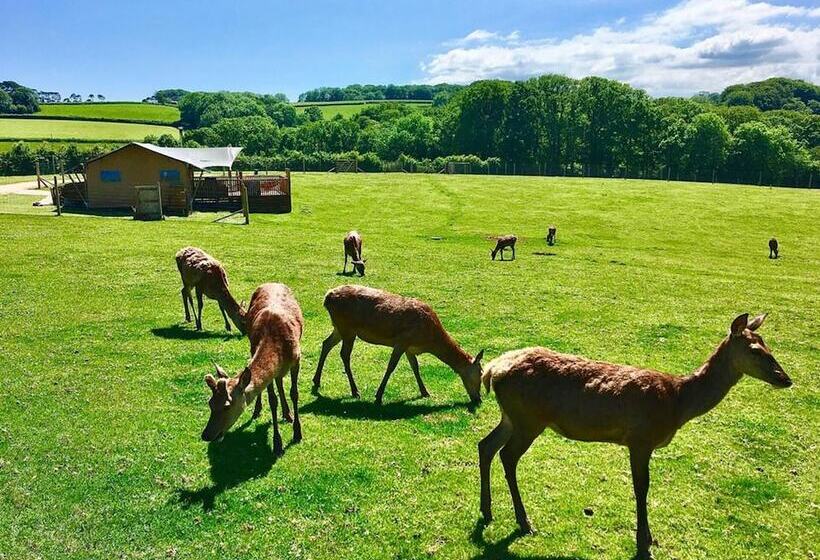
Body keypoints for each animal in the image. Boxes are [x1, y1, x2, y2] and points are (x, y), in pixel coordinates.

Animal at [202, 283, 304, 455]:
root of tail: (272, 282)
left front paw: (297, 433)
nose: (206, 435)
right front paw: (277, 444)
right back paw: (259, 410)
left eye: (227, 406)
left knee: (280, 381)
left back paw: (288, 414)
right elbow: (272, 400)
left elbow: (294, 393)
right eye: (210, 403)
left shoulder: (297, 358)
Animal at [312, 284, 484, 405]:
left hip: (339, 328)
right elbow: (391, 366)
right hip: (348, 328)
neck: (428, 340)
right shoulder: (402, 341)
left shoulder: (410, 348)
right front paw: (378, 396)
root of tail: (327, 297)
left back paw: (316, 382)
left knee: (326, 344)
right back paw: (355, 391)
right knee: (344, 354)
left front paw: (425, 392)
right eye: (481, 373)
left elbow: (415, 367)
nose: (479, 399)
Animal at [478, 313, 791, 558]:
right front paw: (644, 543)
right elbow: (642, 488)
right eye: (755, 350)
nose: (785, 379)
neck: (678, 402)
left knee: (486, 445)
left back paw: (487, 510)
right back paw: (523, 521)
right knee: (507, 455)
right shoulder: (640, 439)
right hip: (528, 419)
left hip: (512, 417)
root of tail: (492, 370)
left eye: (769, 345)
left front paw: (649, 538)